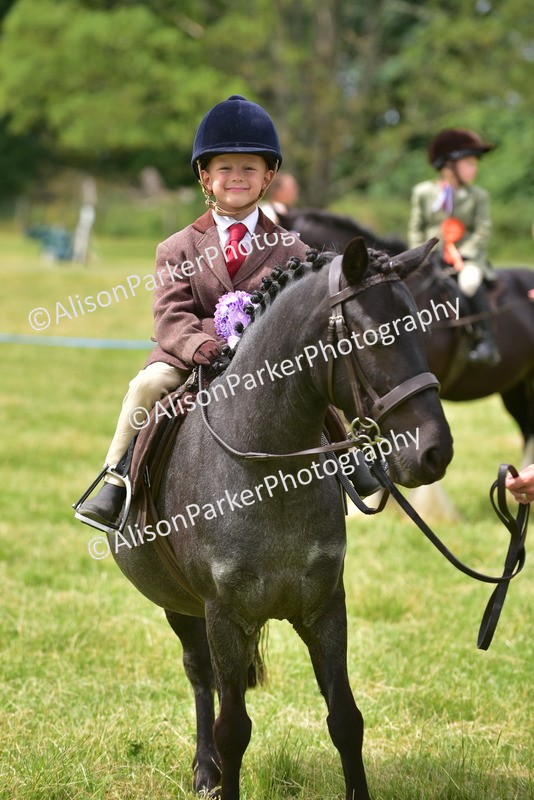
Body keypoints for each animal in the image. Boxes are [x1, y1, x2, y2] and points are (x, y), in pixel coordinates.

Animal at [109, 237, 453, 800]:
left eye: (421, 330)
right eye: (375, 336)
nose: (435, 451)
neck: (269, 473)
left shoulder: (325, 607)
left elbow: (345, 720)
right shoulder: (224, 615)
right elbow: (232, 729)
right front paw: (219, 770)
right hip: (178, 605)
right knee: (199, 675)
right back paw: (205, 771)